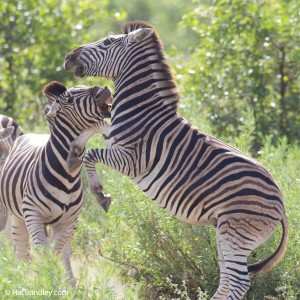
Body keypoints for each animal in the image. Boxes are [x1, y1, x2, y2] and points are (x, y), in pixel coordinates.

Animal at [0, 82, 112, 286]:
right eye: (70, 99)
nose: (104, 89)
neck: (67, 175)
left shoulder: (69, 221)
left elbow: (56, 252)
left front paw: (59, 282)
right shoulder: (32, 214)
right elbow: (45, 253)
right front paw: (45, 282)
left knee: (63, 252)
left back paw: (70, 283)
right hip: (18, 217)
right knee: (21, 252)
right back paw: (20, 281)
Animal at [63, 21, 288, 300]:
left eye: (107, 42)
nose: (68, 57)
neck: (142, 112)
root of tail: (282, 202)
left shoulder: (131, 160)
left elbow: (90, 155)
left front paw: (99, 193)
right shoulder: (113, 141)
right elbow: (93, 137)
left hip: (237, 233)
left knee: (238, 282)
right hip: (227, 233)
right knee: (227, 279)